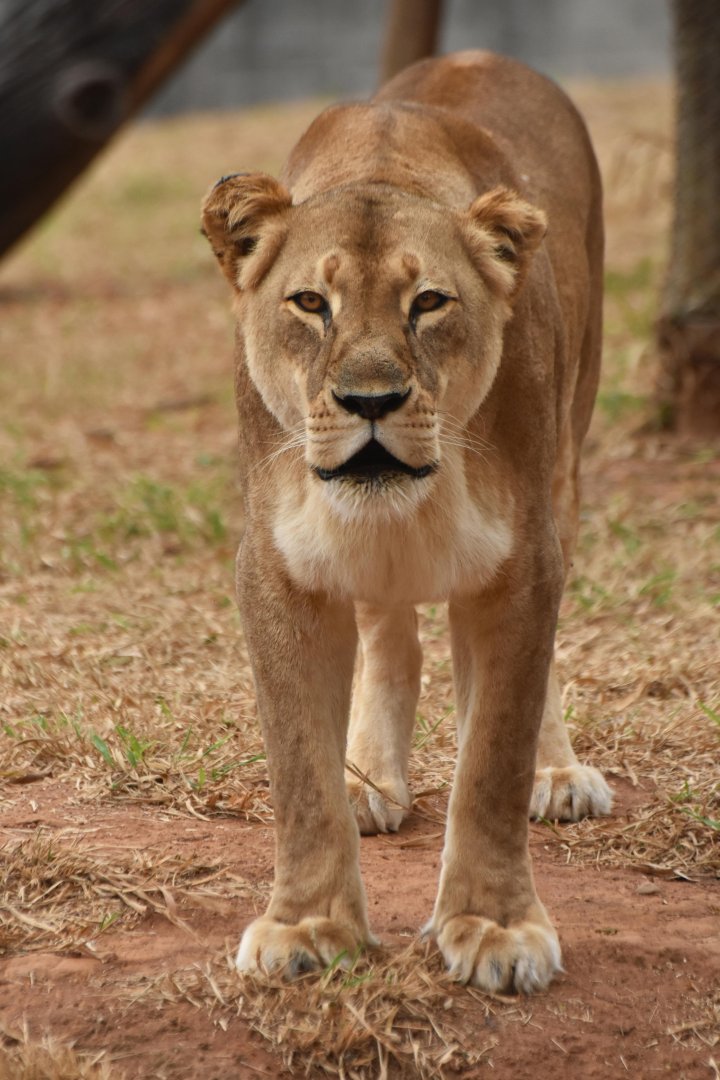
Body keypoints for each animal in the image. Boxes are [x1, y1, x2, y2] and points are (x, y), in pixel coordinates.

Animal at [201, 50, 612, 994]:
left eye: (429, 302)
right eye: (310, 303)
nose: (371, 401)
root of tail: (483, 55)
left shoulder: (521, 559)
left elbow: (493, 755)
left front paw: (495, 927)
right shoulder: (278, 564)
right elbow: (299, 770)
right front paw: (307, 925)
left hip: (570, 457)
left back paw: (557, 772)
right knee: (394, 638)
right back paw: (370, 780)